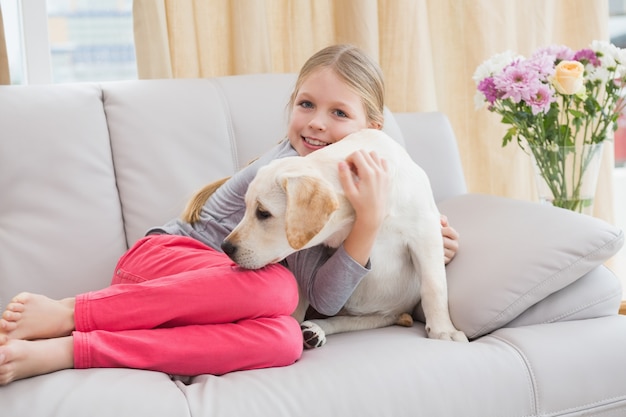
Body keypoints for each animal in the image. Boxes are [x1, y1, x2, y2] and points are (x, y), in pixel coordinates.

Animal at [219, 129, 464, 348]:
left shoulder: (426, 232)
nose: (225, 247)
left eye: (263, 213)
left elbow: (434, 286)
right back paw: (312, 331)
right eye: (246, 208)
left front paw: (443, 330)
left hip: (382, 314)